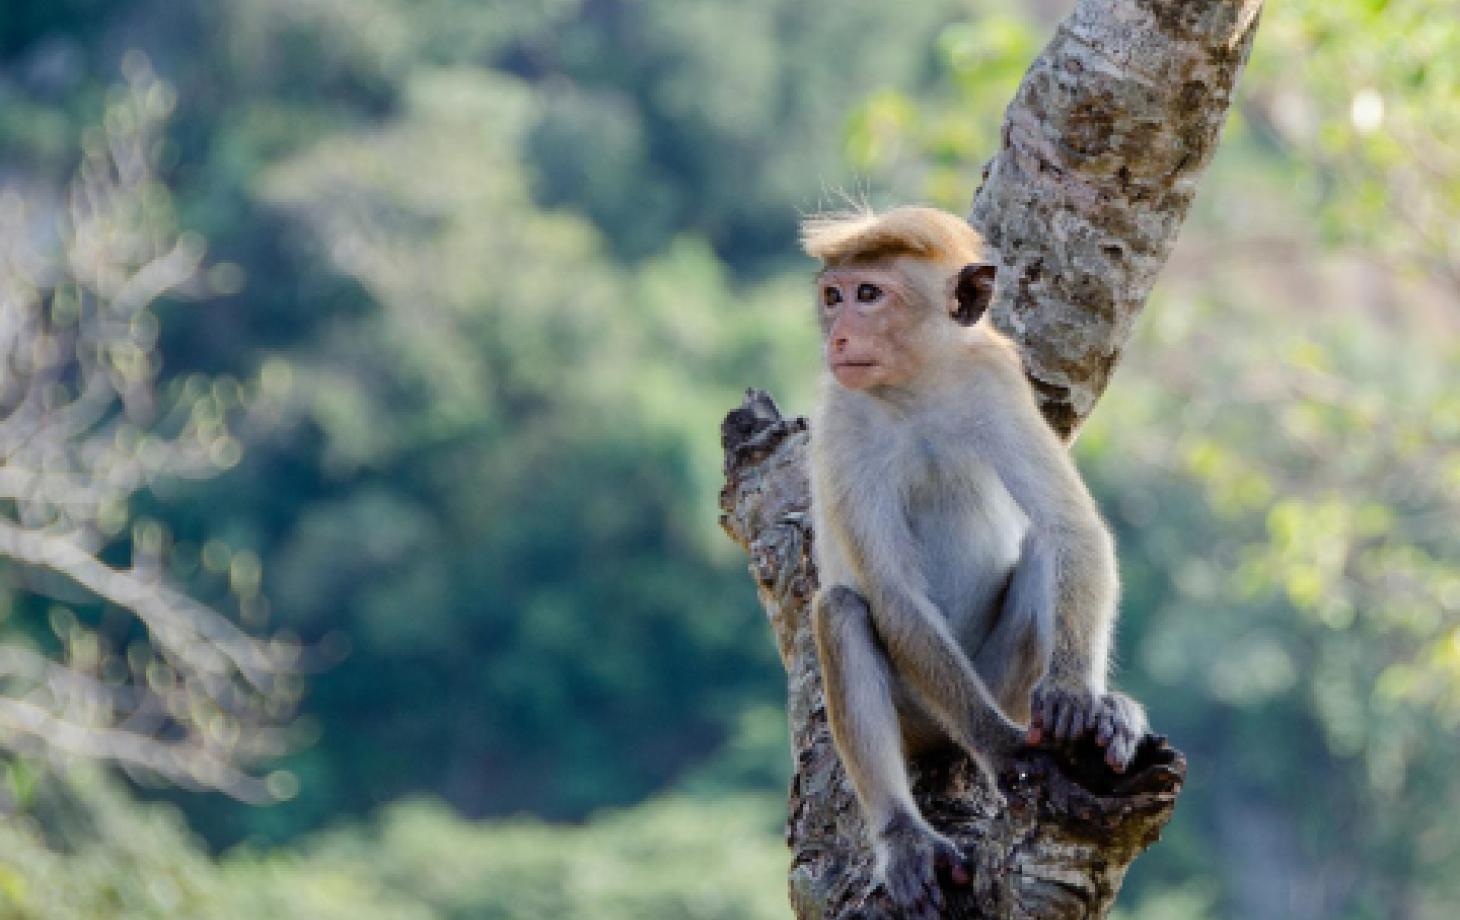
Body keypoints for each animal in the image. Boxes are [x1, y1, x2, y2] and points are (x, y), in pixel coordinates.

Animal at [805, 205, 1144, 917]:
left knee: (1044, 545)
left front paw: (1078, 697)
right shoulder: (843, 419)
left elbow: (1070, 525)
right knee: (843, 609)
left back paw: (1104, 711)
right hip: (923, 712)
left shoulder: (995, 381)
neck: (914, 390)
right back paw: (905, 837)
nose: (840, 336)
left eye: (868, 294)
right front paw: (1002, 747)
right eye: (833, 296)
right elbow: (893, 594)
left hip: (1002, 679)